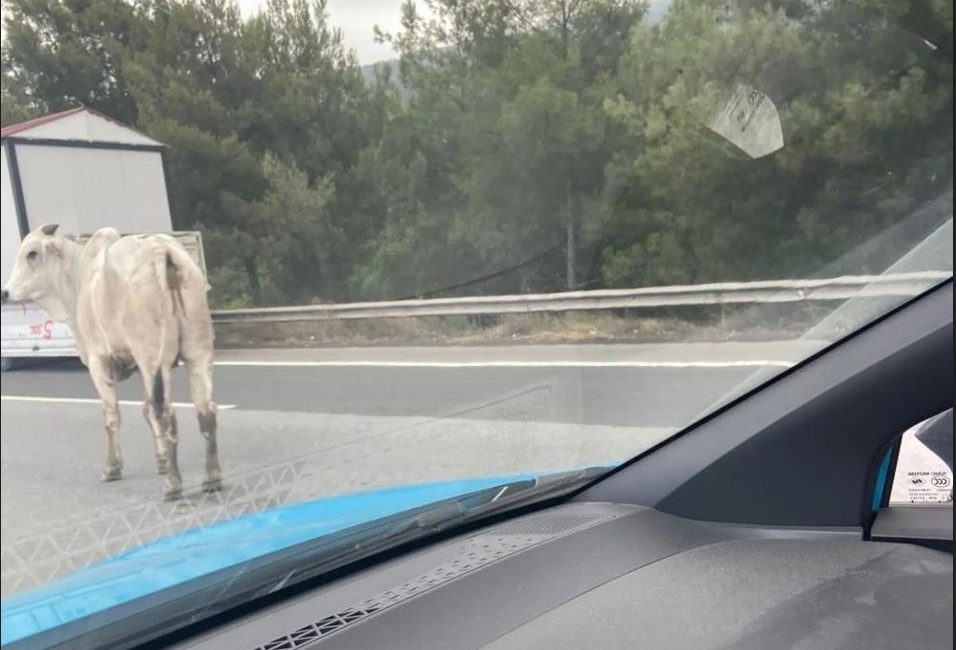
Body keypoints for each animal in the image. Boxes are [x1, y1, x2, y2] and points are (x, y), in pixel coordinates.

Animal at [1, 223, 220, 496]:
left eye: (32, 254)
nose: (5, 292)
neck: (80, 279)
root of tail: (162, 250)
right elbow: (145, 411)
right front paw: (161, 461)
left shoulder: (98, 361)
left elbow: (112, 415)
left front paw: (113, 468)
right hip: (197, 350)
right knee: (205, 410)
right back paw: (212, 478)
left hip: (153, 357)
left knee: (165, 412)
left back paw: (172, 484)